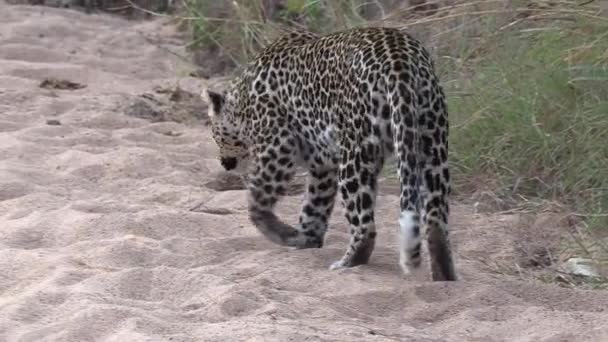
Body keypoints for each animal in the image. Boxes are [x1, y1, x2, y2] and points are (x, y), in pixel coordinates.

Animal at [204, 26, 456, 280]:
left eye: (215, 134)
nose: (224, 163)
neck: (241, 100)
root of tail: (399, 58)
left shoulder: (277, 149)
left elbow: (257, 202)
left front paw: (282, 233)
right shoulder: (322, 167)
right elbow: (314, 208)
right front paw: (305, 239)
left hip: (355, 156)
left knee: (366, 227)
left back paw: (347, 263)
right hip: (432, 145)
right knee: (436, 223)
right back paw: (444, 278)